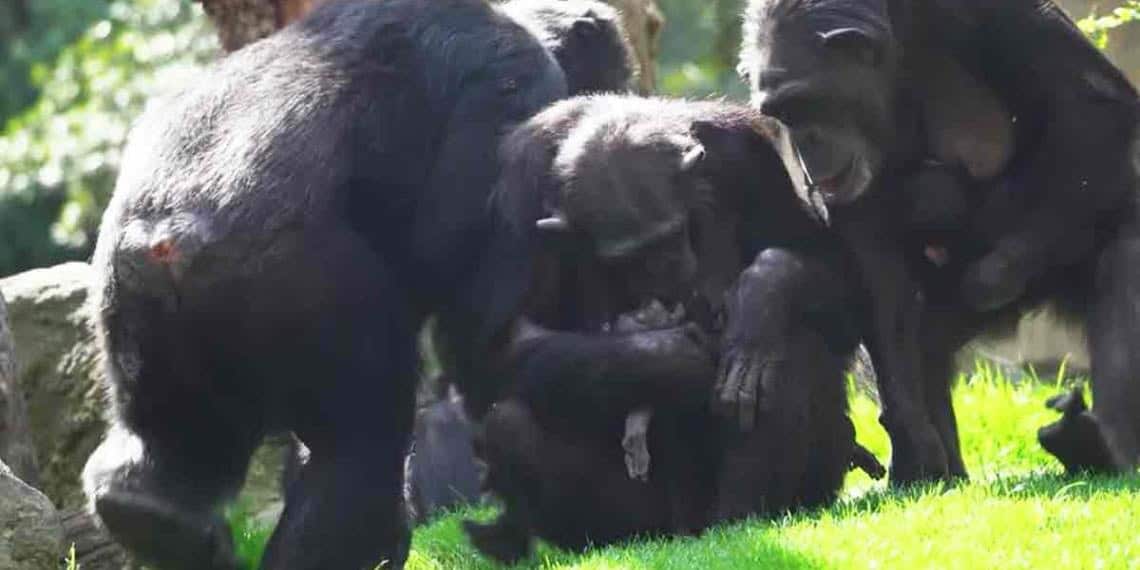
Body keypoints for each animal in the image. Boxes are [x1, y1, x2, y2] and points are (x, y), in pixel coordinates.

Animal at [75, 0, 606, 567]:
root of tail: (166, 240)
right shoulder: (518, 89)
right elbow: (468, 271)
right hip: (299, 289)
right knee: (361, 443)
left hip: (136, 309)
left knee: (175, 441)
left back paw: (149, 512)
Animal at [456, 96, 880, 560]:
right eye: (630, 258)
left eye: (673, 234)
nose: (670, 269)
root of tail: (689, 529)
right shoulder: (519, 195)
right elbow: (502, 346)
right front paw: (679, 359)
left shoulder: (753, 157)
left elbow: (838, 283)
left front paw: (762, 292)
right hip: (646, 519)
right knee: (507, 424)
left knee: (792, 342)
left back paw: (743, 515)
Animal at [734, 0, 1140, 483]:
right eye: (781, 114)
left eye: (803, 102)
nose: (804, 143)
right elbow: (874, 261)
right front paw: (914, 442)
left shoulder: (998, 15)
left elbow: (1088, 109)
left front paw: (993, 270)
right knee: (921, 334)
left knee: (1124, 257)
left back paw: (1108, 449)